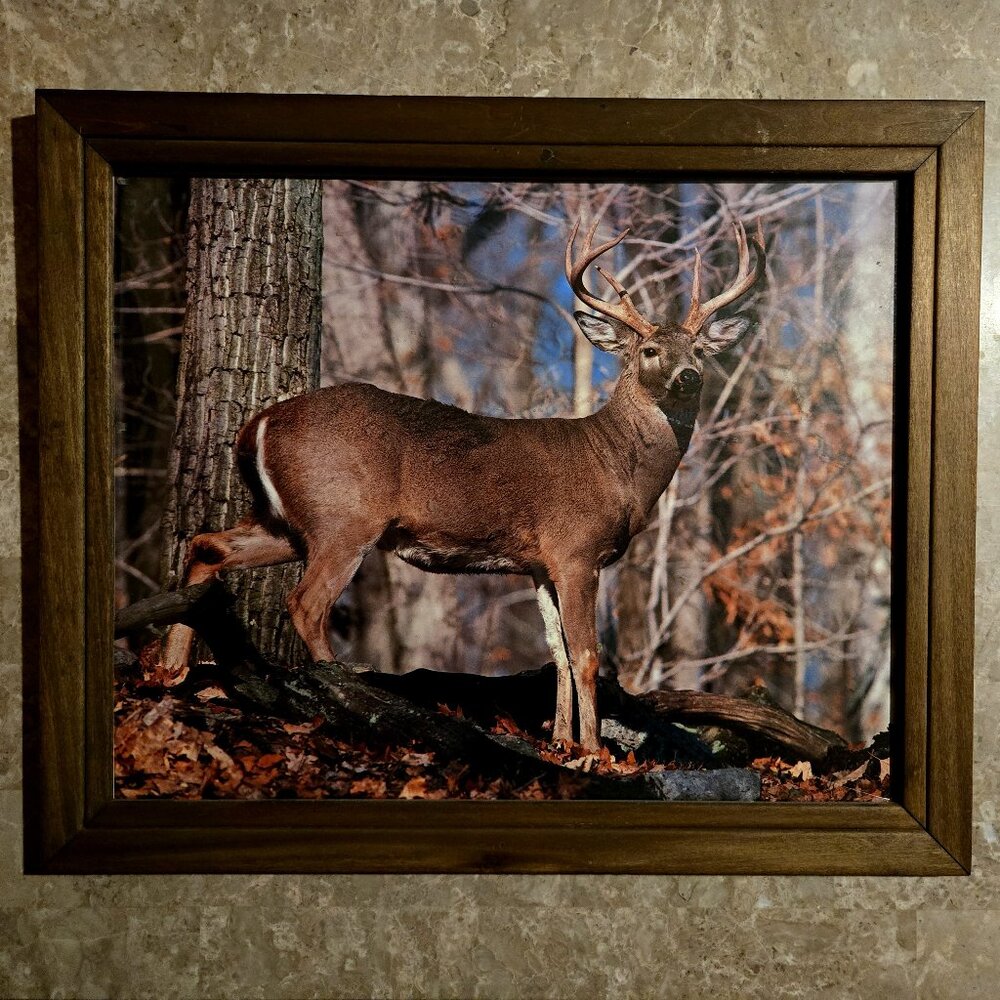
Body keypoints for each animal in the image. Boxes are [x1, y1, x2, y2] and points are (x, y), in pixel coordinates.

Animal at [160, 217, 766, 752]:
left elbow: (558, 655)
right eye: (649, 351)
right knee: (306, 601)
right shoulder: (575, 549)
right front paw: (596, 749)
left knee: (208, 545)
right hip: (343, 516)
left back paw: (170, 671)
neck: (617, 468)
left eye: (700, 350)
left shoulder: (539, 562)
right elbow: (587, 655)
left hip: (286, 519)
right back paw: (344, 688)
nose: (688, 376)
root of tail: (258, 424)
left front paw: (562, 741)